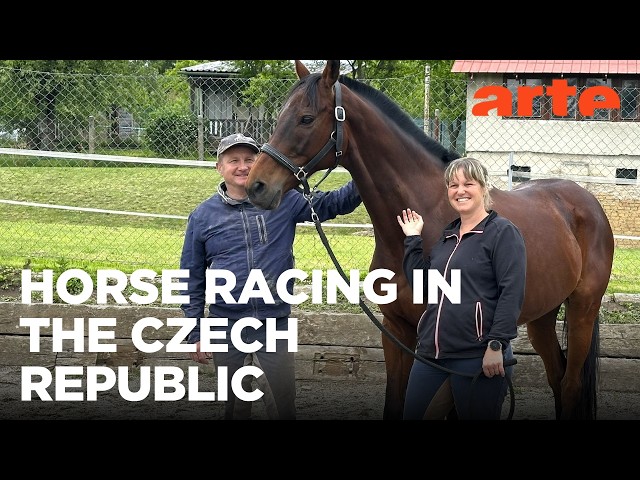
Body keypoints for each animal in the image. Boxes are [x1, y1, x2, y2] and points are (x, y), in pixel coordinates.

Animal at [246, 60, 615, 420]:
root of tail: (586, 202)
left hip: (582, 310)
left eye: (306, 118)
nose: (256, 186)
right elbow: (395, 403)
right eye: (280, 115)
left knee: (569, 385)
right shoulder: (397, 331)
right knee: (557, 377)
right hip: (542, 316)